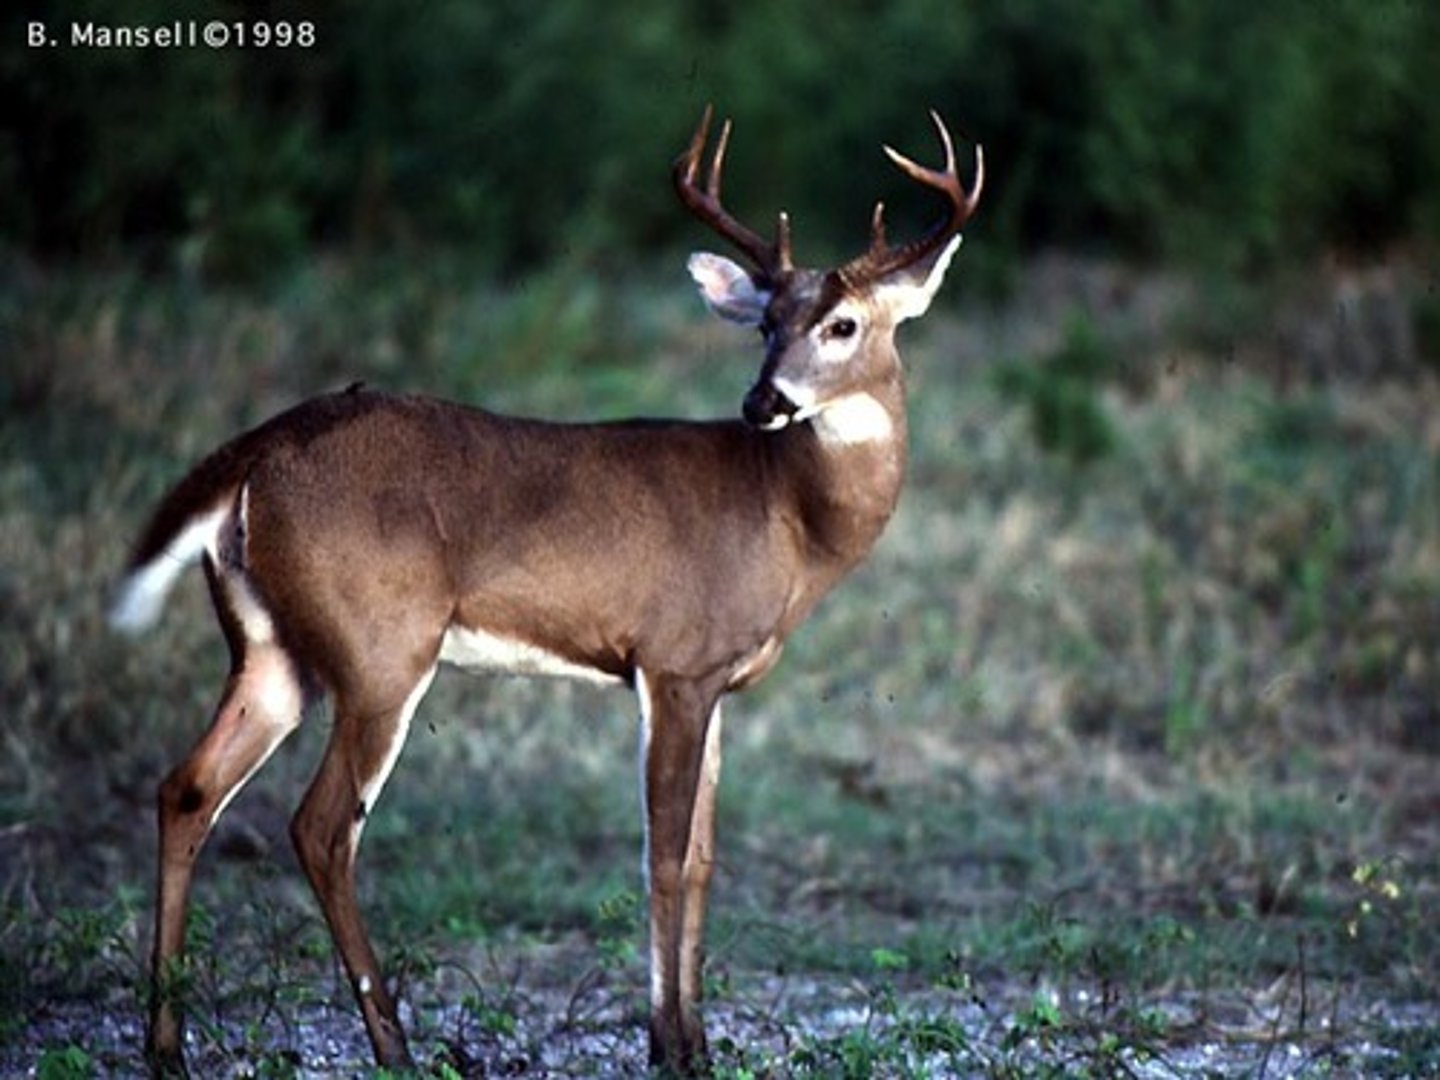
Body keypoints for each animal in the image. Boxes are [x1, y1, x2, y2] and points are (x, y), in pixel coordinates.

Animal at [109, 103, 979, 1080]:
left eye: (843, 325)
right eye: (767, 324)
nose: (763, 402)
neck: (787, 515)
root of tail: (257, 455)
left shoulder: (716, 682)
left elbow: (704, 856)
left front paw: (697, 1042)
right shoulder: (673, 662)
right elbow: (663, 854)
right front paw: (667, 1044)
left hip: (270, 649)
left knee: (187, 788)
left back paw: (166, 1045)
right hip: (381, 649)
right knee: (322, 827)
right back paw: (394, 1044)